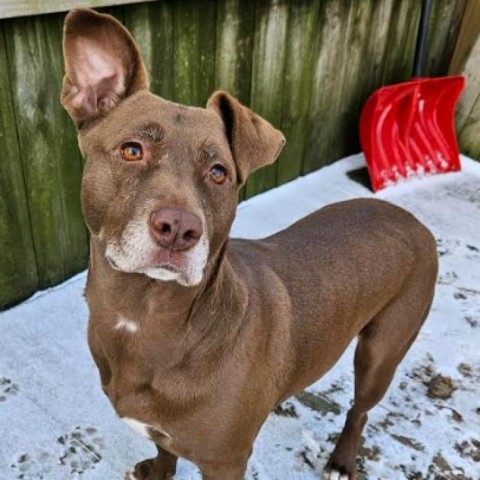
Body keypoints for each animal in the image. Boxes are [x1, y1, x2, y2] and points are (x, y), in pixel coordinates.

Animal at [61, 8, 438, 480]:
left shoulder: (227, 461)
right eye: (132, 150)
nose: (179, 228)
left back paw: (341, 460)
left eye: (219, 173)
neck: (145, 317)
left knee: (361, 408)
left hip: (382, 350)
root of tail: (411, 218)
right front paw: (158, 470)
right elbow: (164, 447)